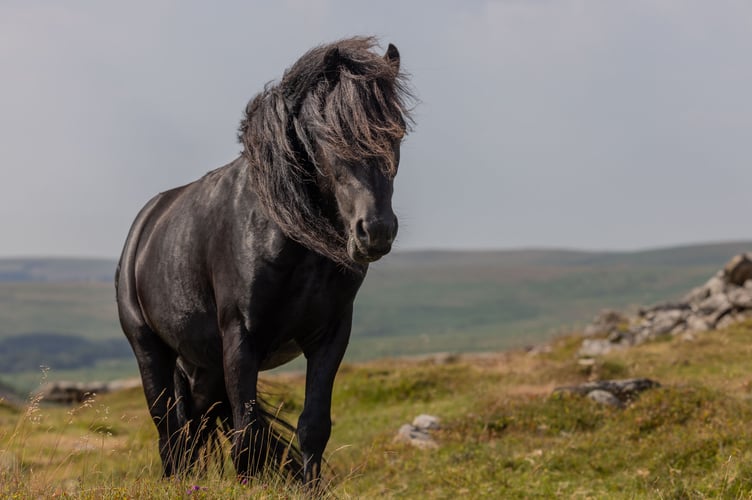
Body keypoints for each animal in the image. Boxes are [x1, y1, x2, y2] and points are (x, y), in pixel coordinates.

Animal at [115, 37, 412, 485]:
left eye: (397, 132)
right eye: (327, 135)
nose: (375, 231)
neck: (291, 235)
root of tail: (145, 223)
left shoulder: (331, 335)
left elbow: (313, 426)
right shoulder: (242, 337)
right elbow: (247, 433)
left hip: (204, 366)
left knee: (192, 429)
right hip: (152, 351)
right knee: (169, 430)